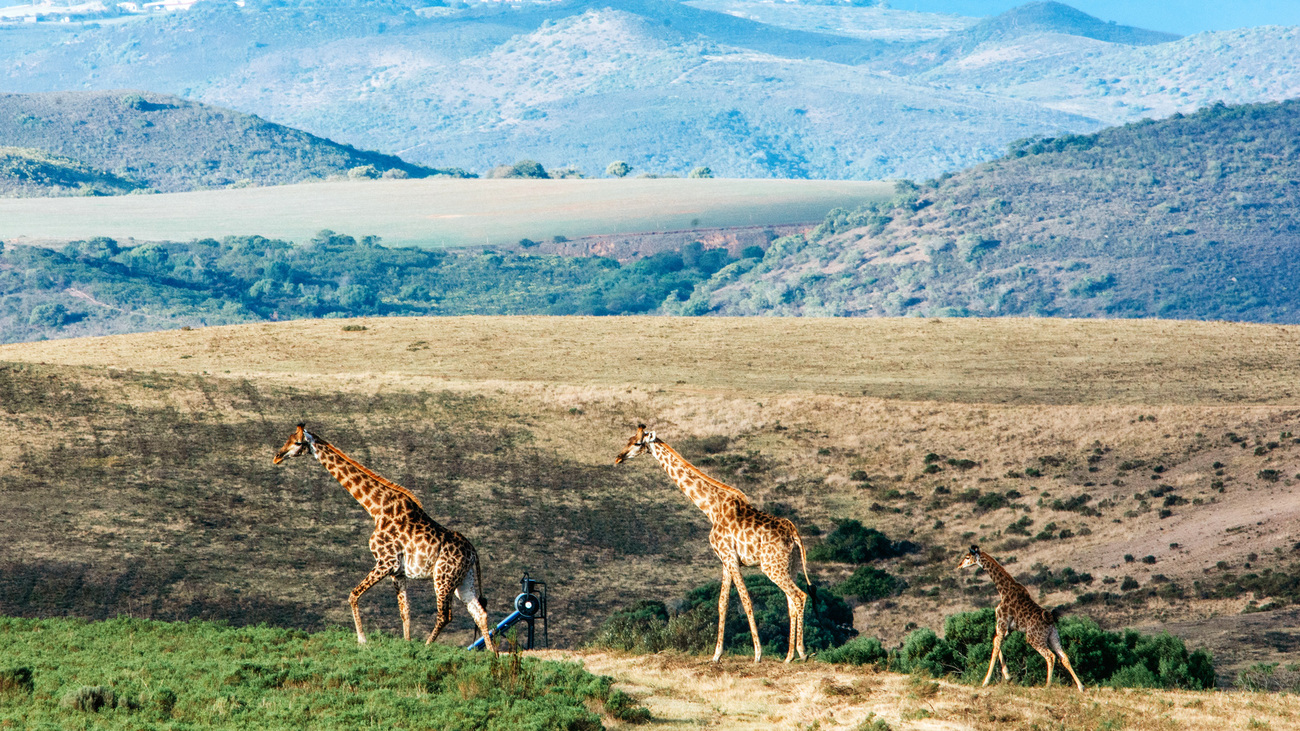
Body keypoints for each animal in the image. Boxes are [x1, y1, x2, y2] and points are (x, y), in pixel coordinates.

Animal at [274, 421, 496, 655]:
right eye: (288, 438)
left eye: (297, 443)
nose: (277, 456)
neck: (376, 509)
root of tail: (473, 553)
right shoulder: (397, 572)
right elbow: (405, 613)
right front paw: (406, 645)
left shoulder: (385, 562)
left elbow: (353, 595)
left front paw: (362, 640)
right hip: (463, 579)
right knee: (479, 612)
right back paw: (493, 655)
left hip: (443, 577)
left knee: (445, 615)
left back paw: (427, 647)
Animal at [616, 421, 816, 660]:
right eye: (627, 440)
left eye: (637, 443)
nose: (618, 457)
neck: (711, 508)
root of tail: (794, 534)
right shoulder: (725, 561)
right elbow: (722, 603)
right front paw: (716, 655)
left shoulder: (730, 558)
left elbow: (746, 600)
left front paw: (757, 654)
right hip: (790, 565)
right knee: (790, 601)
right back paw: (788, 657)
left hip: (771, 566)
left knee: (799, 596)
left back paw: (801, 652)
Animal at [961, 541, 1081, 686]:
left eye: (967, 557)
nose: (959, 565)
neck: (1003, 590)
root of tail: (1050, 621)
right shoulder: (1009, 628)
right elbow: (996, 642)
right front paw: (1008, 676)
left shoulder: (1002, 623)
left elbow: (995, 649)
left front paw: (986, 681)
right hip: (1053, 636)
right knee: (1064, 657)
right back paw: (1081, 686)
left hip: (1034, 638)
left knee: (1050, 656)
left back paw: (1047, 685)